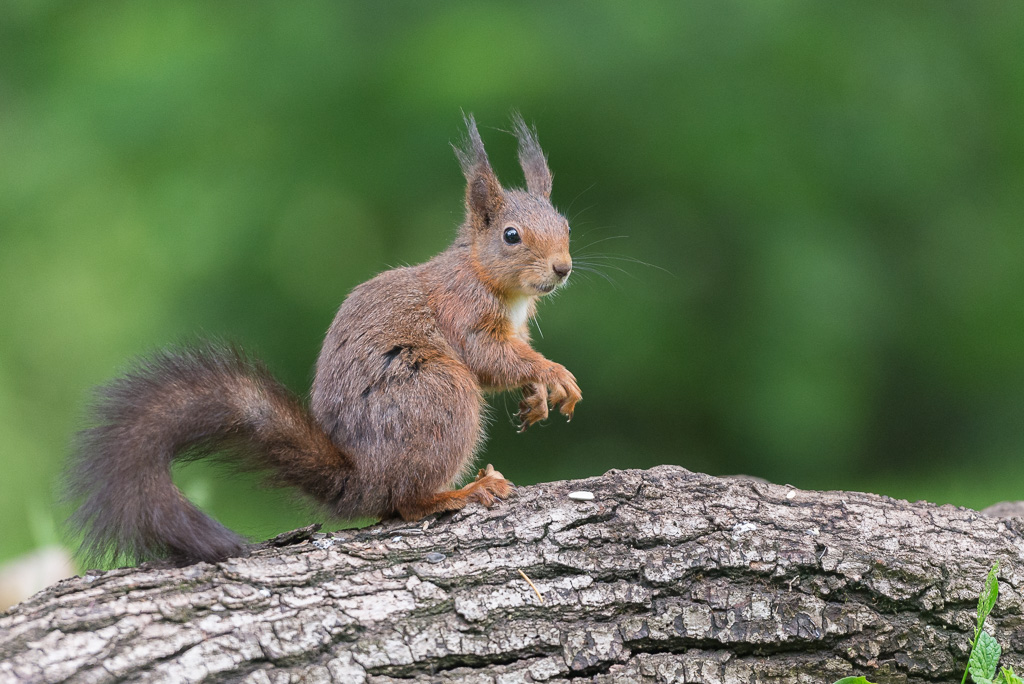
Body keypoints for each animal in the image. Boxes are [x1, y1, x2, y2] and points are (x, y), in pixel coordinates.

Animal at [68, 113, 585, 565]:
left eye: (567, 226)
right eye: (511, 236)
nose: (562, 268)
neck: (491, 279)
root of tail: (363, 479)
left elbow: (505, 366)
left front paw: (536, 396)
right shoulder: (463, 311)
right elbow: (487, 358)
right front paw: (553, 373)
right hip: (438, 393)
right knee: (406, 502)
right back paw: (463, 491)